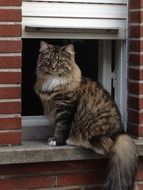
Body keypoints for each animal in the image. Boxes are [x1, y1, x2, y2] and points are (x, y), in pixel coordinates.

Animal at [34, 41, 137, 190]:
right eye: (48, 60)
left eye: (59, 61)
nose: (52, 67)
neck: (53, 82)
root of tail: (120, 132)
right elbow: (56, 126)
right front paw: (53, 137)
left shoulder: (65, 109)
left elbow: (61, 128)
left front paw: (57, 141)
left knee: (105, 146)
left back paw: (73, 140)